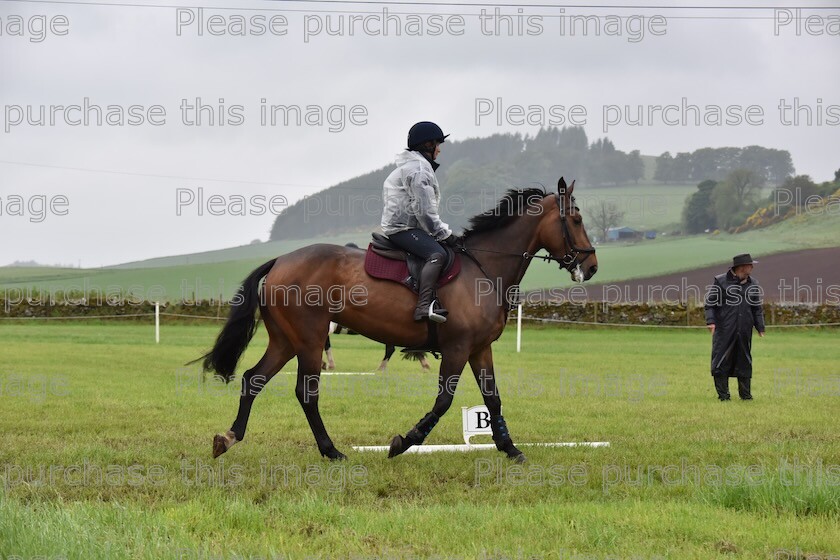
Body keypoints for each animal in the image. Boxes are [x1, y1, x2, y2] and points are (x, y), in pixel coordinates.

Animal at [199, 177, 596, 462]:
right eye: (576, 220)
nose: (591, 266)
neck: (484, 268)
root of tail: (280, 260)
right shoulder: (457, 348)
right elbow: (443, 401)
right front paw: (404, 441)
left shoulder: (480, 349)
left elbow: (493, 398)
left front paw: (510, 448)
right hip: (309, 339)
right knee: (306, 392)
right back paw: (330, 450)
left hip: (286, 340)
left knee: (253, 379)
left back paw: (228, 438)